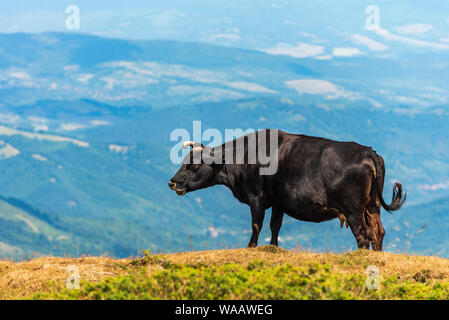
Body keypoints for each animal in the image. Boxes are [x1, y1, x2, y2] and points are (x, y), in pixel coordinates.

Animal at [169, 129, 406, 251]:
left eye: (194, 165)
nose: (172, 182)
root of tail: (366, 150)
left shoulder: (256, 198)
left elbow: (257, 224)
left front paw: (251, 246)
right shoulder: (278, 202)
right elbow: (275, 226)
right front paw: (273, 247)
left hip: (353, 209)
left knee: (363, 234)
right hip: (372, 206)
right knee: (378, 232)